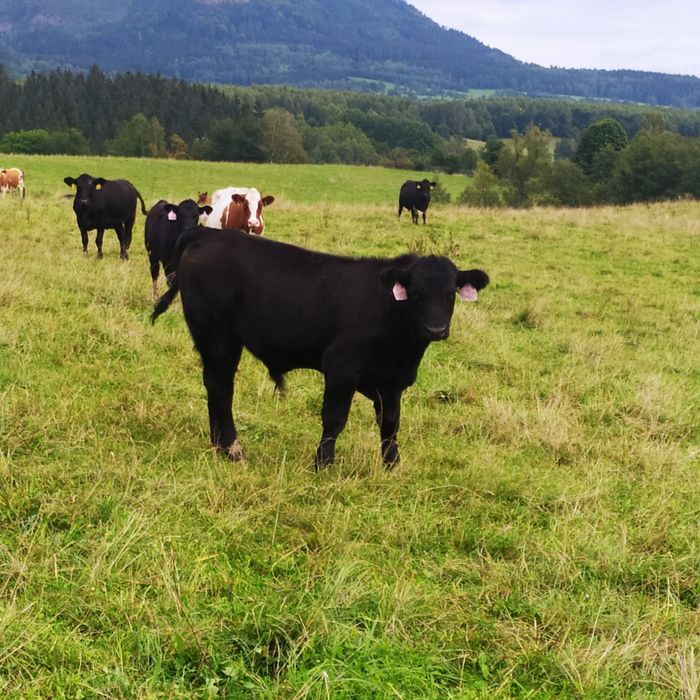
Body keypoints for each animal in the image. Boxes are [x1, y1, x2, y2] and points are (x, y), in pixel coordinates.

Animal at [150, 230, 490, 470]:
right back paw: (233, 449)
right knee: (220, 387)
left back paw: (218, 445)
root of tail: (207, 234)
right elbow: (335, 418)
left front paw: (392, 465)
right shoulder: (341, 367)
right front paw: (323, 463)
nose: (436, 329)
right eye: (416, 294)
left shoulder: (393, 382)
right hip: (217, 335)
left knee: (215, 386)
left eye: (450, 293)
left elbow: (390, 424)